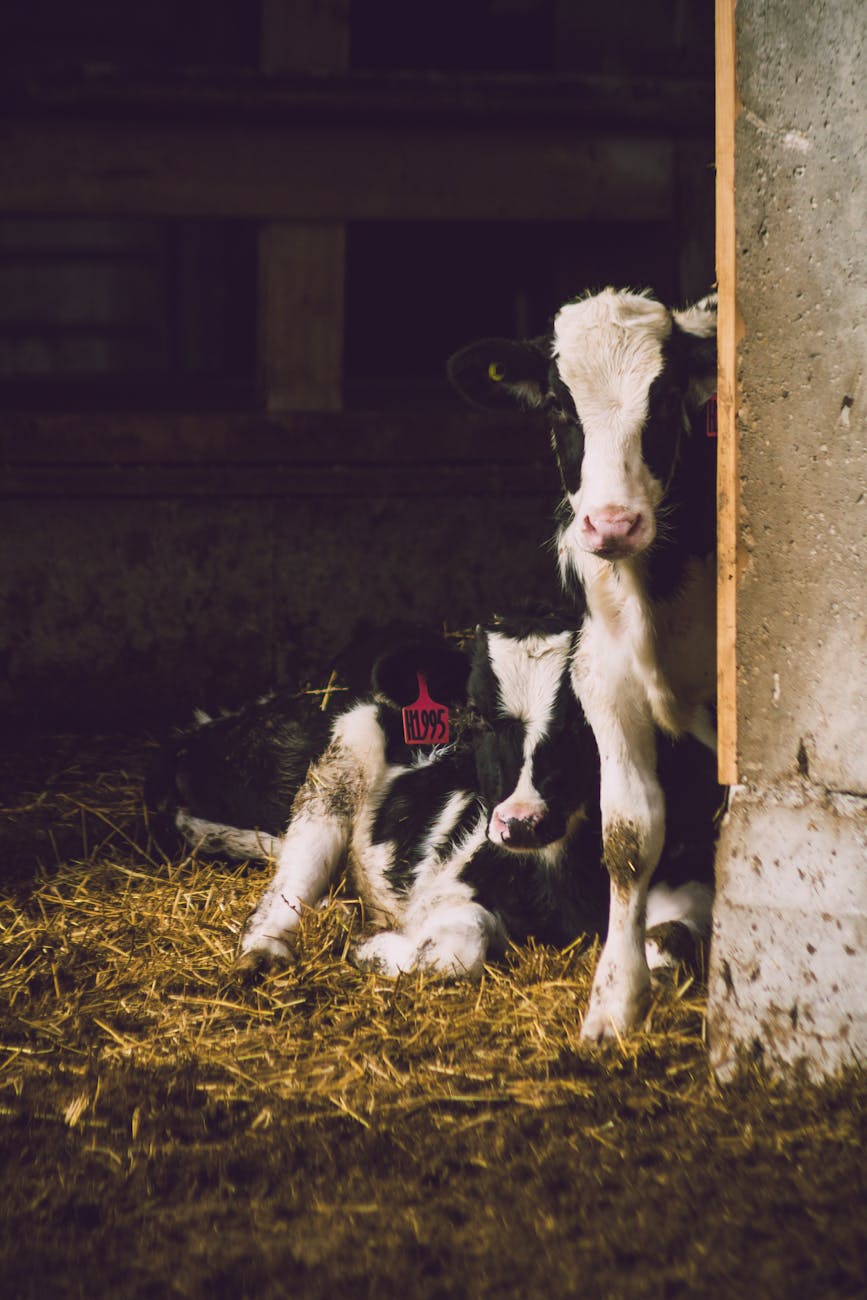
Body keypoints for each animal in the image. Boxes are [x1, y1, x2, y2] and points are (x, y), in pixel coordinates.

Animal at [148, 608, 717, 989]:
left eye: (587, 722)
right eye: (478, 717)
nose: (520, 823)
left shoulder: (689, 871)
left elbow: (671, 946)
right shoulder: (445, 881)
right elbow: (452, 952)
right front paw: (375, 949)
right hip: (338, 766)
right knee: (286, 889)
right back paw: (271, 949)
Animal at [447, 289, 718, 1038]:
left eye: (666, 398)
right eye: (558, 406)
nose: (613, 524)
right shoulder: (604, 679)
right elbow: (628, 836)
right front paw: (614, 1003)